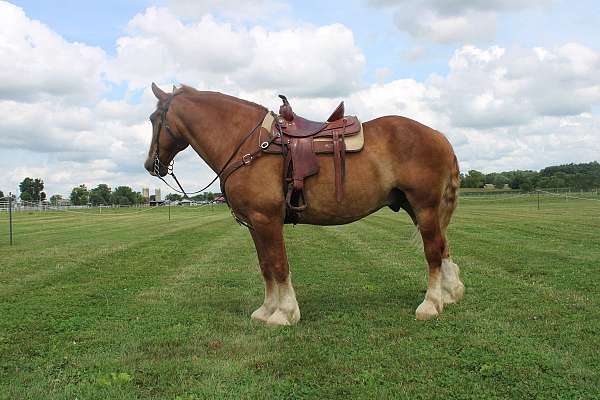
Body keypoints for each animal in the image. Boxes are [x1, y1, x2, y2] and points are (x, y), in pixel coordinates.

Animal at [145, 83, 464, 324]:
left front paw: (284, 313)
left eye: (153, 118)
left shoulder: (267, 219)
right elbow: (265, 266)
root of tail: (439, 136)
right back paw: (450, 295)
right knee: (443, 248)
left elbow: (278, 264)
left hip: (424, 207)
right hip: (418, 208)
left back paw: (430, 304)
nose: (150, 164)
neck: (248, 145)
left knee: (433, 252)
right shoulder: (255, 224)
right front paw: (266, 310)